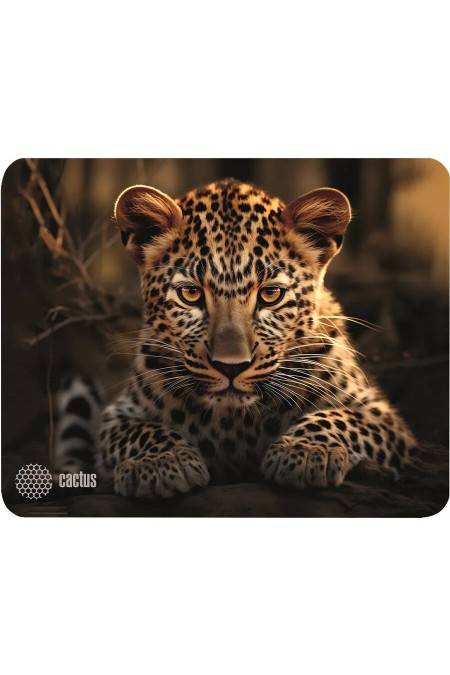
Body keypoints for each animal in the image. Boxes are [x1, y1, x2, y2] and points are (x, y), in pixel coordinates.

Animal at [60, 179, 417, 499]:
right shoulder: (119, 414)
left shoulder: (382, 417)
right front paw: (160, 461)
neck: (234, 419)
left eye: (271, 295)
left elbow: (338, 418)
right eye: (190, 294)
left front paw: (305, 450)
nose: (231, 367)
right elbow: (141, 431)